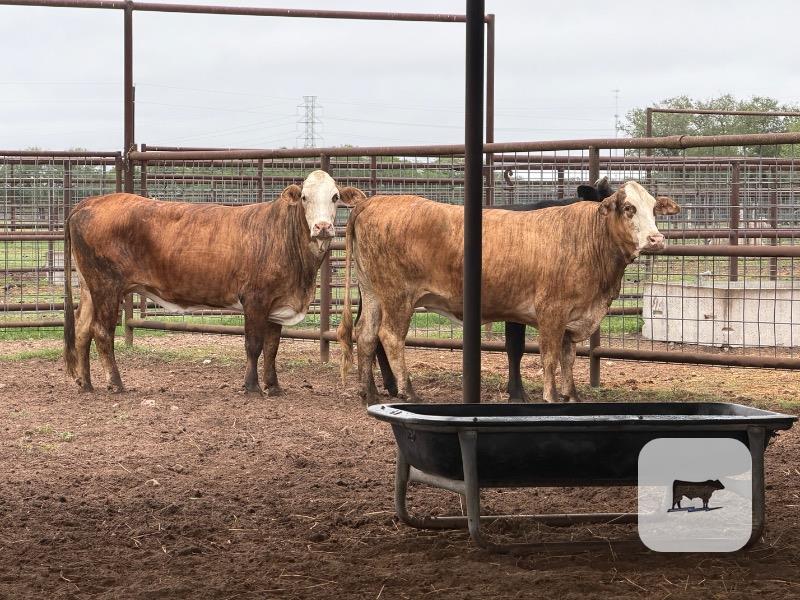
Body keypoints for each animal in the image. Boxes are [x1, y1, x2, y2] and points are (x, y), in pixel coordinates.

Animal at [63, 170, 365, 394]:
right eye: (304, 197)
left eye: (335, 197)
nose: (323, 227)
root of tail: (88, 203)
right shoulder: (255, 299)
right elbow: (254, 344)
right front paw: (252, 386)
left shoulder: (277, 303)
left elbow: (272, 347)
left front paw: (274, 386)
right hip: (106, 285)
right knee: (102, 331)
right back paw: (115, 383)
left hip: (89, 286)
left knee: (83, 329)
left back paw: (85, 383)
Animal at [337, 181, 679, 404]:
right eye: (629, 208)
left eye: (653, 209)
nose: (656, 239)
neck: (585, 237)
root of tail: (371, 202)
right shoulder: (551, 313)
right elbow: (549, 358)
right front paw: (550, 397)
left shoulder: (572, 317)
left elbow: (568, 358)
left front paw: (572, 396)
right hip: (398, 297)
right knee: (390, 337)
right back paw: (408, 392)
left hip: (373, 294)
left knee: (366, 335)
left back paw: (368, 393)